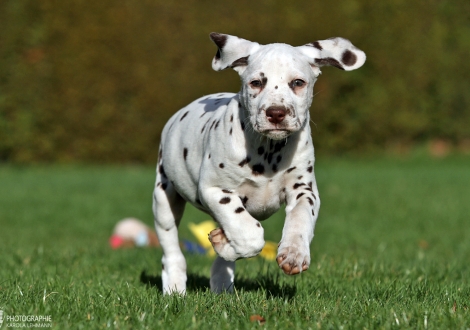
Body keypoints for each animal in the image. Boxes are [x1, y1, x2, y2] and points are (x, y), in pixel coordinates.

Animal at [152, 32, 366, 294]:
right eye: (256, 83)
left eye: (298, 82)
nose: (276, 112)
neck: (268, 152)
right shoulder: (215, 190)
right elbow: (250, 235)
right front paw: (230, 244)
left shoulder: (304, 190)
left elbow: (300, 218)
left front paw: (294, 252)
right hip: (164, 199)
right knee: (171, 248)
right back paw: (175, 286)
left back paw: (221, 280)